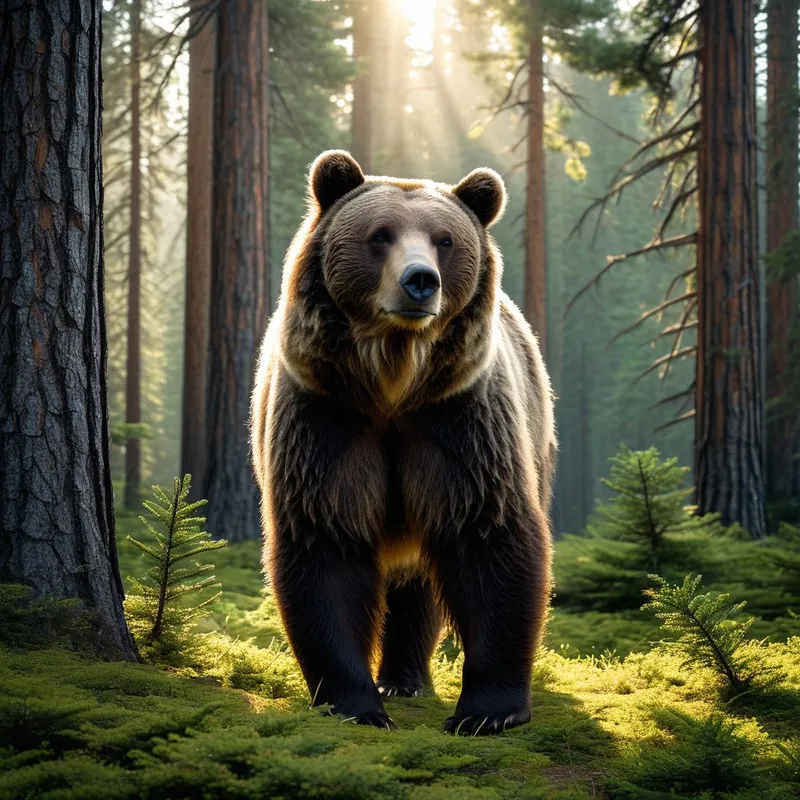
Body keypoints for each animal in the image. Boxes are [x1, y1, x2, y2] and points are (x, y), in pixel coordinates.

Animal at [250, 150, 556, 735]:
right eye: (380, 235)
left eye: (445, 239)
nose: (420, 281)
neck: (394, 381)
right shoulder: (328, 417)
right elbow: (326, 542)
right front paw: (355, 703)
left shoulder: (458, 419)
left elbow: (488, 534)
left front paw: (488, 710)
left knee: (420, 579)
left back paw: (406, 677)